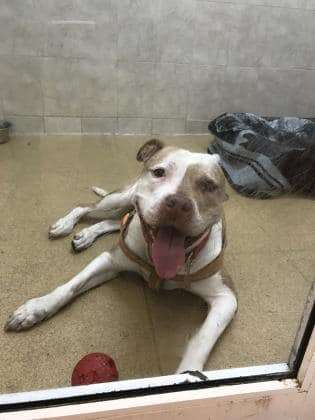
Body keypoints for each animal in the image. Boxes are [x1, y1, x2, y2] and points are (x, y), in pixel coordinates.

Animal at [4, 139, 237, 372]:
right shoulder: (110, 260)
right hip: (119, 198)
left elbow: (202, 340)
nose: (179, 204)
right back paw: (65, 224)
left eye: (208, 185)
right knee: (86, 207)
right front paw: (36, 308)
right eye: (159, 172)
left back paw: (87, 235)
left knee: (116, 220)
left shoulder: (226, 297)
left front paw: (187, 374)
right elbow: (71, 286)